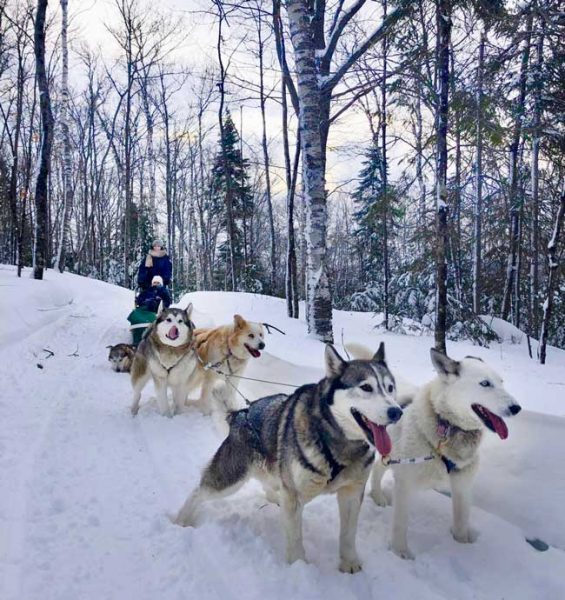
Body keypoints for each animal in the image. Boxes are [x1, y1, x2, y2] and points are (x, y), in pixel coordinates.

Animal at [174, 342, 404, 572]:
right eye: (366, 387)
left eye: (390, 388)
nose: (397, 412)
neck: (335, 442)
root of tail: (239, 414)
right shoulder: (294, 497)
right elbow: (295, 539)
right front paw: (300, 567)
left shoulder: (352, 494)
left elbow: (348, 535)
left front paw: (349, 563)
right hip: (230, 477)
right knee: (199, 492)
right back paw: (181, 521)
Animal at [350, 344, 524, 560]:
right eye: (485, 383)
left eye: (501, 382)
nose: (516, 408)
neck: (446, 428)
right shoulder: (405, 485)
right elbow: (400, 525)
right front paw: (400, 552)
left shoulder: (462, 487)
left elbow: (460, 523)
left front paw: (462, 546)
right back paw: (378, 497)